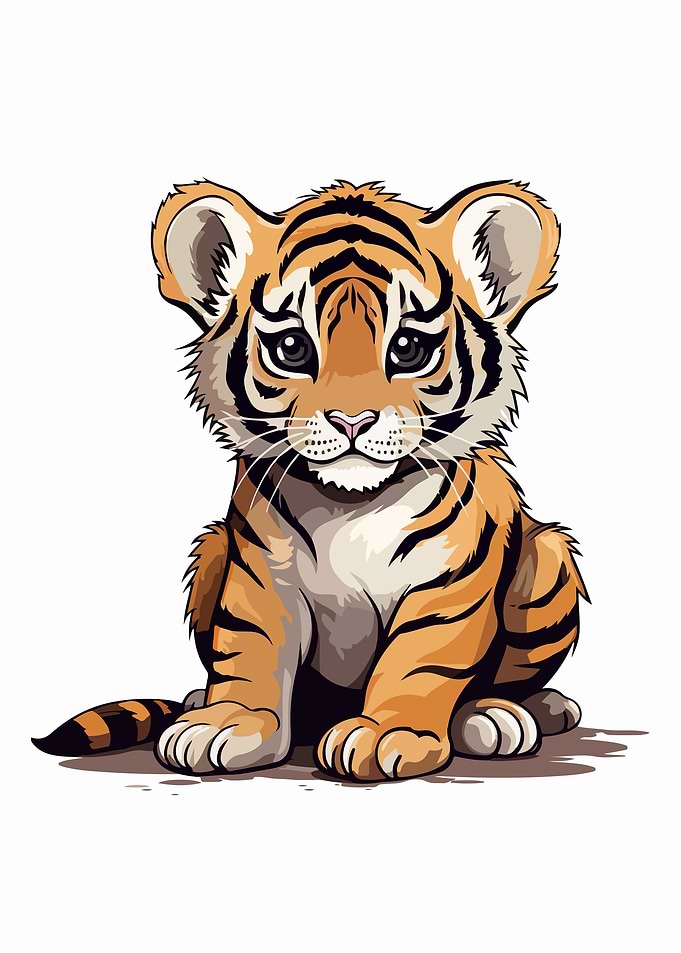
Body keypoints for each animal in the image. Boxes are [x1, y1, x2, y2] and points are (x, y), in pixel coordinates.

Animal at [33, 178, 588, 782]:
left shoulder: (448, 584)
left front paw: (385, 733)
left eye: (408, 348)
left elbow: (420, 661)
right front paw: (228, 722)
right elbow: (250, 648)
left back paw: (507, 714)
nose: (352, 420)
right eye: (293, 348)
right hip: (211, 550)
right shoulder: (261, 575)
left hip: (549, 559)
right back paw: (198, 701)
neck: (351, 507)